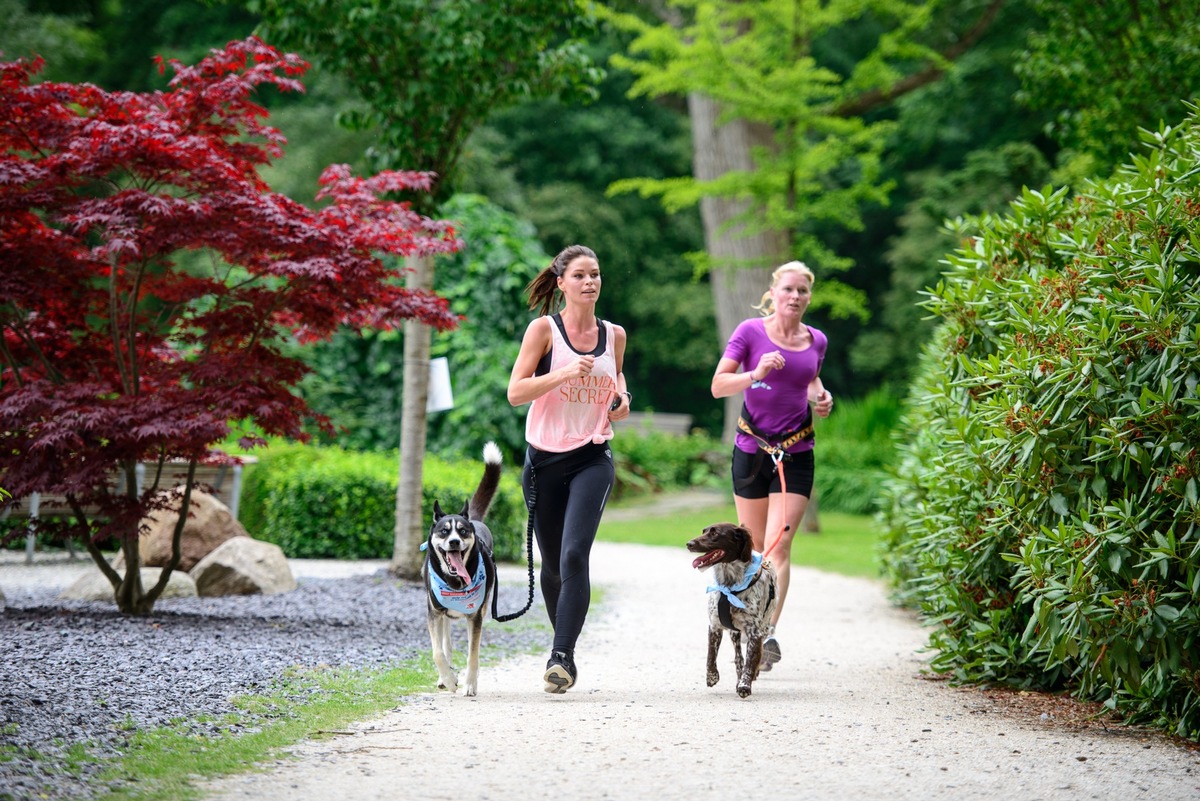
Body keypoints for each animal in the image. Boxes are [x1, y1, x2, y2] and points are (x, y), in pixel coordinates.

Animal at [422, 441, 501, 695]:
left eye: (463, 531)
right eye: (444, 531)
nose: (455, 542)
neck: (455, 582)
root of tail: (474, 518)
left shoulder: (474, 616)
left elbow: (472, 654)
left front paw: (469, 684)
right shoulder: (433, 612)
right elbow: (437, 652)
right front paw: (448, 679)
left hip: (481, 609)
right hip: (441, 611)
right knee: (445, 642)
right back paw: (444, 676)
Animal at [686, 522, 777, 695]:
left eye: (715, 533)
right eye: (704, 531)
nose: (689, 543)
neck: (730, 586)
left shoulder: (755, 632)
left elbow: (751, 660)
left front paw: (745, 685)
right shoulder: (714, 626)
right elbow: (711, 655)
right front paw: (712, 677)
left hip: (764, 626)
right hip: (734, 633)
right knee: (738, 657)